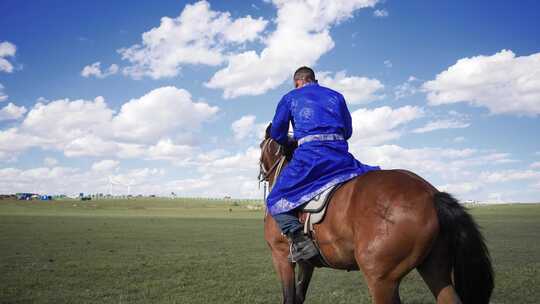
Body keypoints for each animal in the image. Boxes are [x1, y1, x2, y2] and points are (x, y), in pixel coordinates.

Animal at [258, 134, 494, 302]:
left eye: (261, 147)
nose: (262, 173)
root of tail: (430, 193)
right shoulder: (306, 264)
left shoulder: (281, 257)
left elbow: (289, 298)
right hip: (435, 269)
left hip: (381, 279)